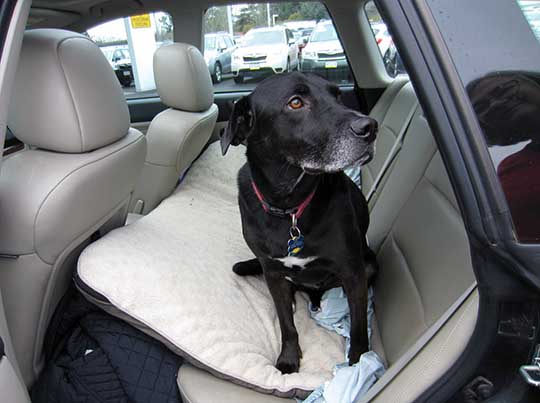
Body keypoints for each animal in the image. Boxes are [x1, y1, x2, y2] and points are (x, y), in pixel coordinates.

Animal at [221, 72, 378, 376]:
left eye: (337, 95)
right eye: (295, 102)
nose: (370, 127)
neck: (290, 207)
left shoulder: (353, 271)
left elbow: (358, 327)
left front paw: (358, 362)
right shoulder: (272, 272)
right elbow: (286, 324)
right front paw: (289, 358)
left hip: (369, 265)